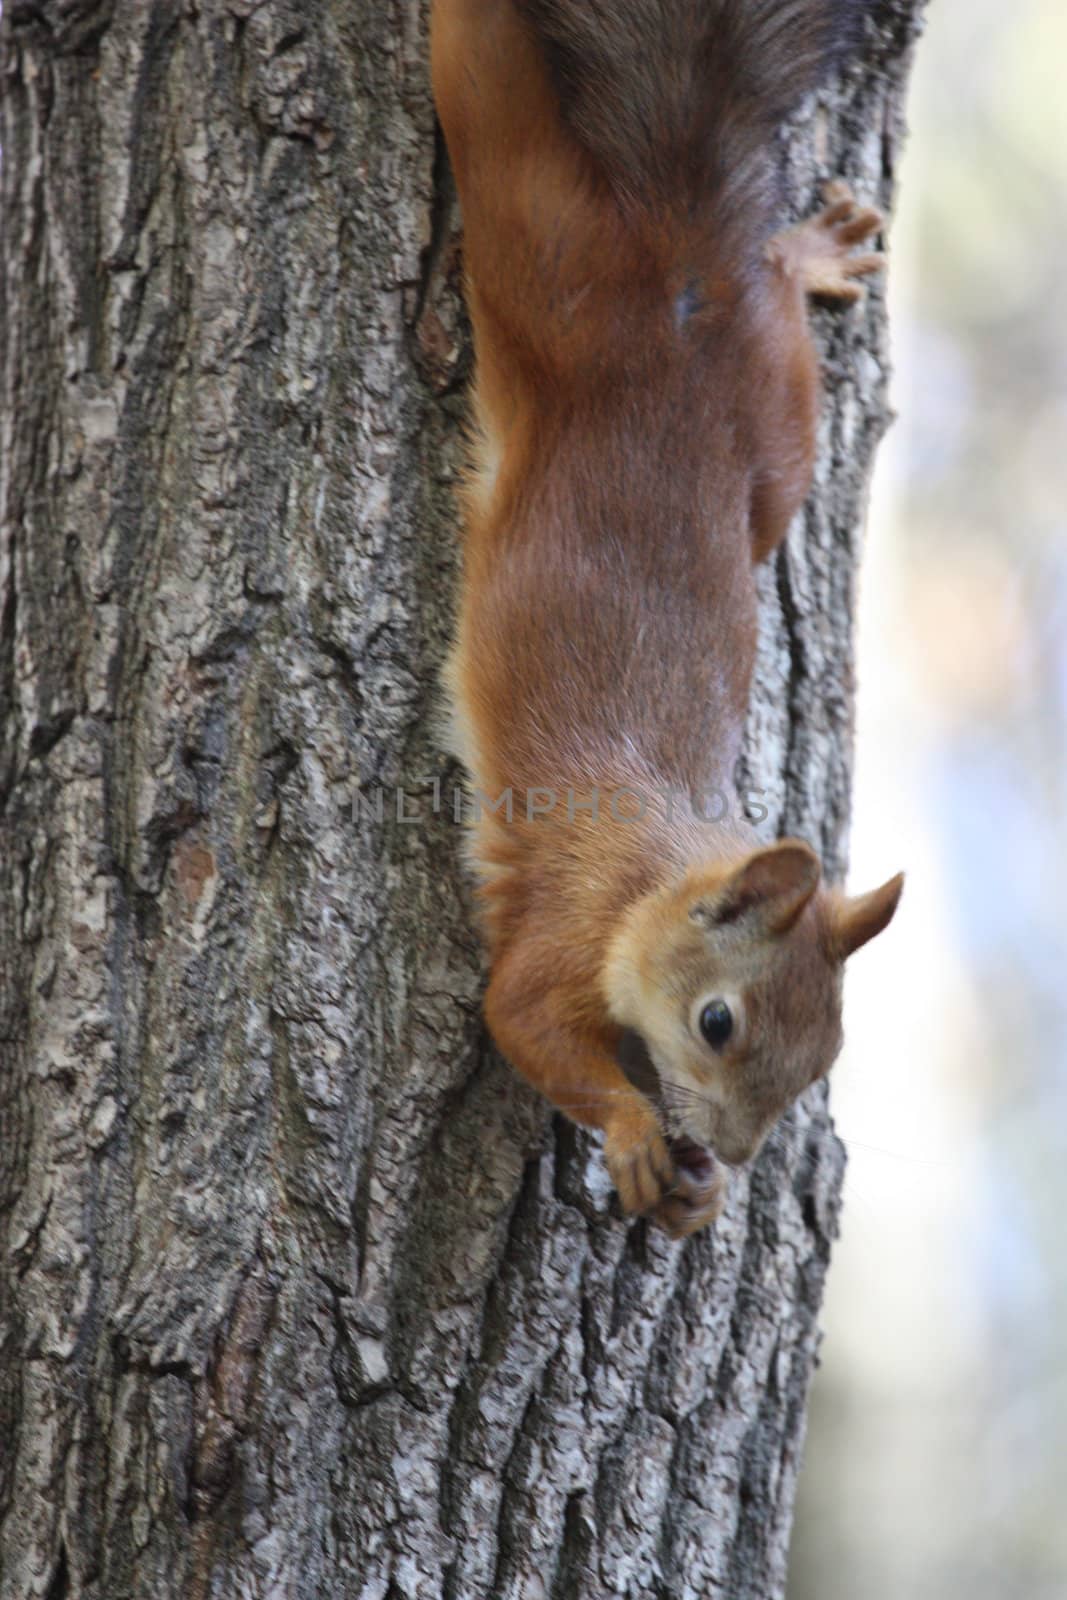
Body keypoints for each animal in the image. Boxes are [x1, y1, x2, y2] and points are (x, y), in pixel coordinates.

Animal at [428, 0, 908, 1235]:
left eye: (824, 1057)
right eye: (717, 1023)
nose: (733, 1154)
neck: (652, 870)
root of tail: (672, 249)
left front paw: (694, 1192)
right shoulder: (562, 926)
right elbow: (519, 1018)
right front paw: (640, 1134)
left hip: (774, 423)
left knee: (768, 285)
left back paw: (810, 251)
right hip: (540, 241)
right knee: (485, 88)